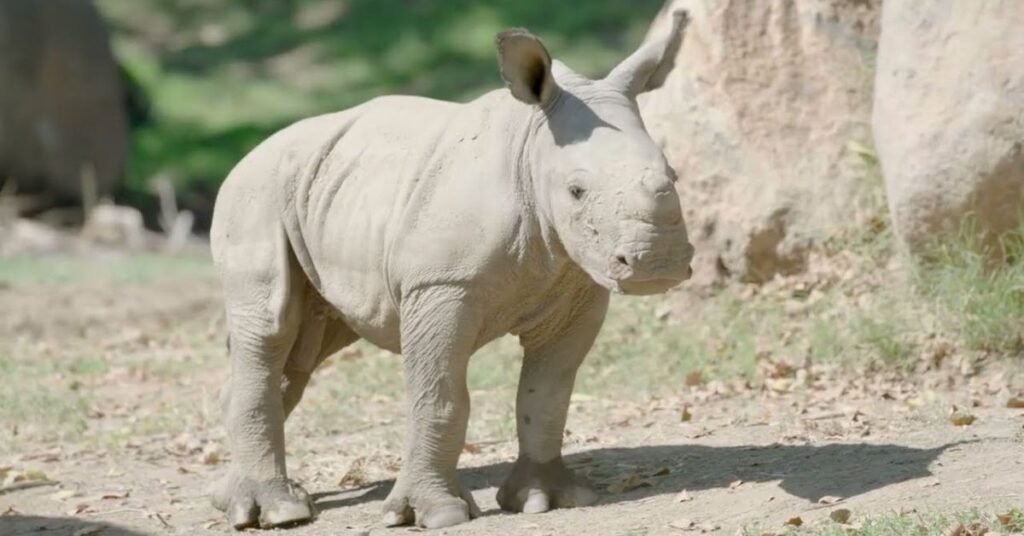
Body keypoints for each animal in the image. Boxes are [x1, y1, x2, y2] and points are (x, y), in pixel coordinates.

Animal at [208, 11, 694, 530]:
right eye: (576, 191)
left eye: (674, 176)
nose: (656, 262)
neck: (531, 146)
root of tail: (244, 157)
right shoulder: (441, 285)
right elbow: (441, 397)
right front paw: (439, 515)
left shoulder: (577, 288)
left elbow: (546, 394)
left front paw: (548, 499)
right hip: (255, 196)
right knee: (271, 326)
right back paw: (281, 512)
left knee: (302, 349)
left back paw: (234, 502)